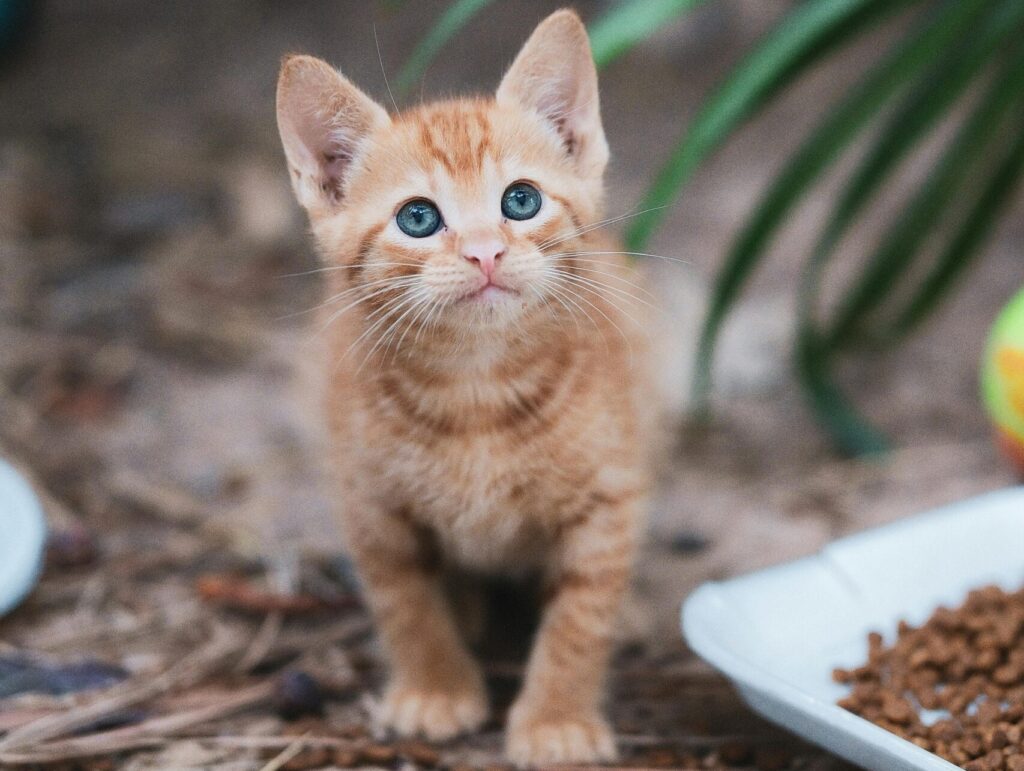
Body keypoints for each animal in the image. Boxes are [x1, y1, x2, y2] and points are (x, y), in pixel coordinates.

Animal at [276, 10, 651, 765]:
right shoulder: (370, 501)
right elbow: (405, 599)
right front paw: (434, 688)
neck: (477, 388)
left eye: (521, 200)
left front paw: (557, 718)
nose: (485, 251)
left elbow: (582, 612)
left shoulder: (608, 497)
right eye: (418, 218)